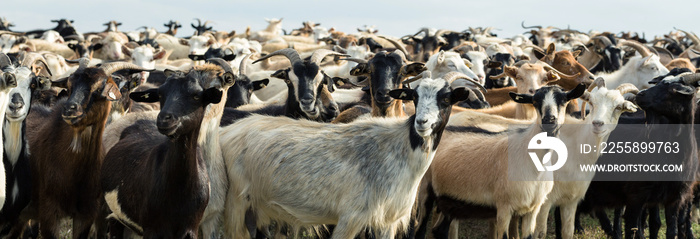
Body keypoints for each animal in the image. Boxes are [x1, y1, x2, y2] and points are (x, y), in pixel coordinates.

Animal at [224, 71, 474, 239]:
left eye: (446, 99)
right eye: (415, 97)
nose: (421, 122)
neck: (399, 148)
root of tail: (229, 131)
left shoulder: (387, 221)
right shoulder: (350, 218)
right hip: (236, 203)